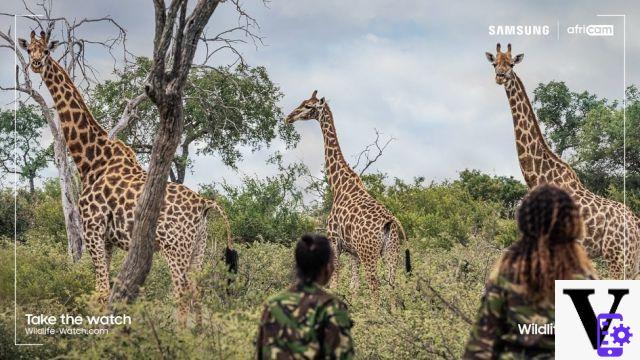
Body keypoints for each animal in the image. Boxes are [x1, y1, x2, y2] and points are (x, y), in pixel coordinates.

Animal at [21, 29, 240, 320]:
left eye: (46, 51)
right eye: (29, 49)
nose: (35, 64)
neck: (91, 160)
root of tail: (205, 203)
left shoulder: (92, 228)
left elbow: (102, 291)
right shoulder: (107, 239)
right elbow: (101, 291)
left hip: (175, 248)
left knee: (181, 295)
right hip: (198, 247)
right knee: (197, 294)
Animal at [284, 90, 410, 296]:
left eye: (309, 106)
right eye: (303, 102)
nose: (289, 117)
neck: (339, 186)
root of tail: (390, 222)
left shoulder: (335, 242)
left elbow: (335, 284)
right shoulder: (353, 252)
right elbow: (354, 287)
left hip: (369, 252)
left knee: (375, 285)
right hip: (391, 252)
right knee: (392, 286)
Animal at [484, 42, 640, 278]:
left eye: (511, 64)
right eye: (495, 63)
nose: (500, 76)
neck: (537, 177)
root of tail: (636, 226)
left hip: (619, 259)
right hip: (631, 263)